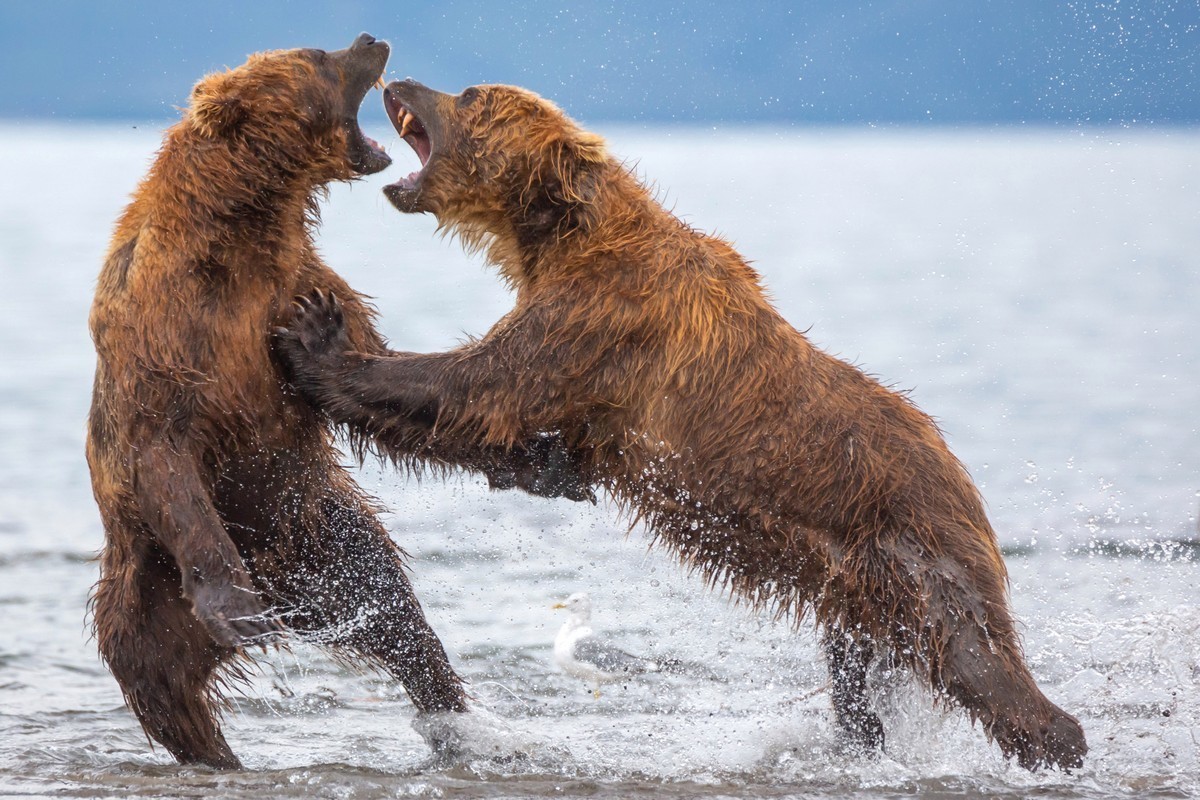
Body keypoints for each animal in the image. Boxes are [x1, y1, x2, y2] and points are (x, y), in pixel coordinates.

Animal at [88, 38, 585, 767]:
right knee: (164, 691)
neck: (242, 231)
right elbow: (163, 448)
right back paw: (221, 735)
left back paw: (453, 723)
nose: (370, 40)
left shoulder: (302, 286)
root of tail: (286, 586)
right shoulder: (162, 329)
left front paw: (542, 459)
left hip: (322, 538)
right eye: (318, 55)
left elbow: (367, 382)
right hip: (147, 588)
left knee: (395, 613)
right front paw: (236, 607)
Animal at [276, 79, 1094, 767]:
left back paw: (1057, 743)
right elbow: (510, 429)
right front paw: (546, 467)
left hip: (916, 548)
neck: (560, 236)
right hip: (857, 585)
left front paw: (316, 339)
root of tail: (961, 472)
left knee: (975, 658)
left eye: (472, 96)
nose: (400, 82)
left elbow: (474, 384)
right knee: (860, 672)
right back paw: (853, 744)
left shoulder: (600, 318)